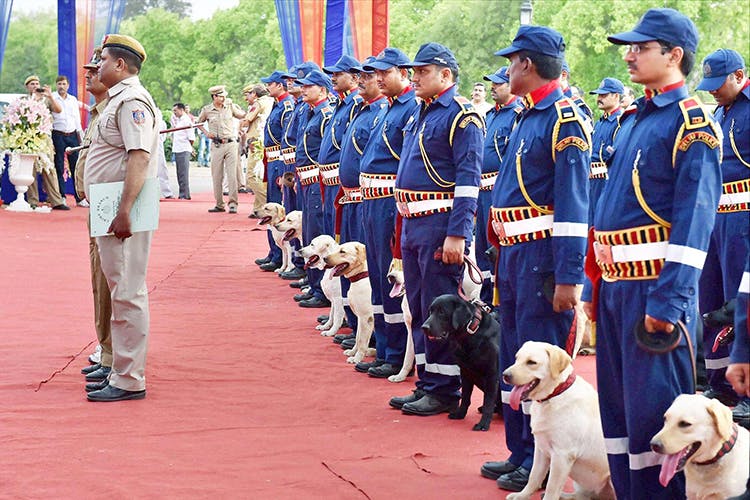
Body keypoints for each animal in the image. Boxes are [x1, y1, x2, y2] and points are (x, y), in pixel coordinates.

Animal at [502, 342, 612, 498]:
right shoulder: (541, 449)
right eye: (516, 359)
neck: (554, 395)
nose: (505, 375)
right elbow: (533, 477)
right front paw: (521, 496)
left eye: (531, 362)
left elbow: (551, 487)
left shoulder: (562, 455)